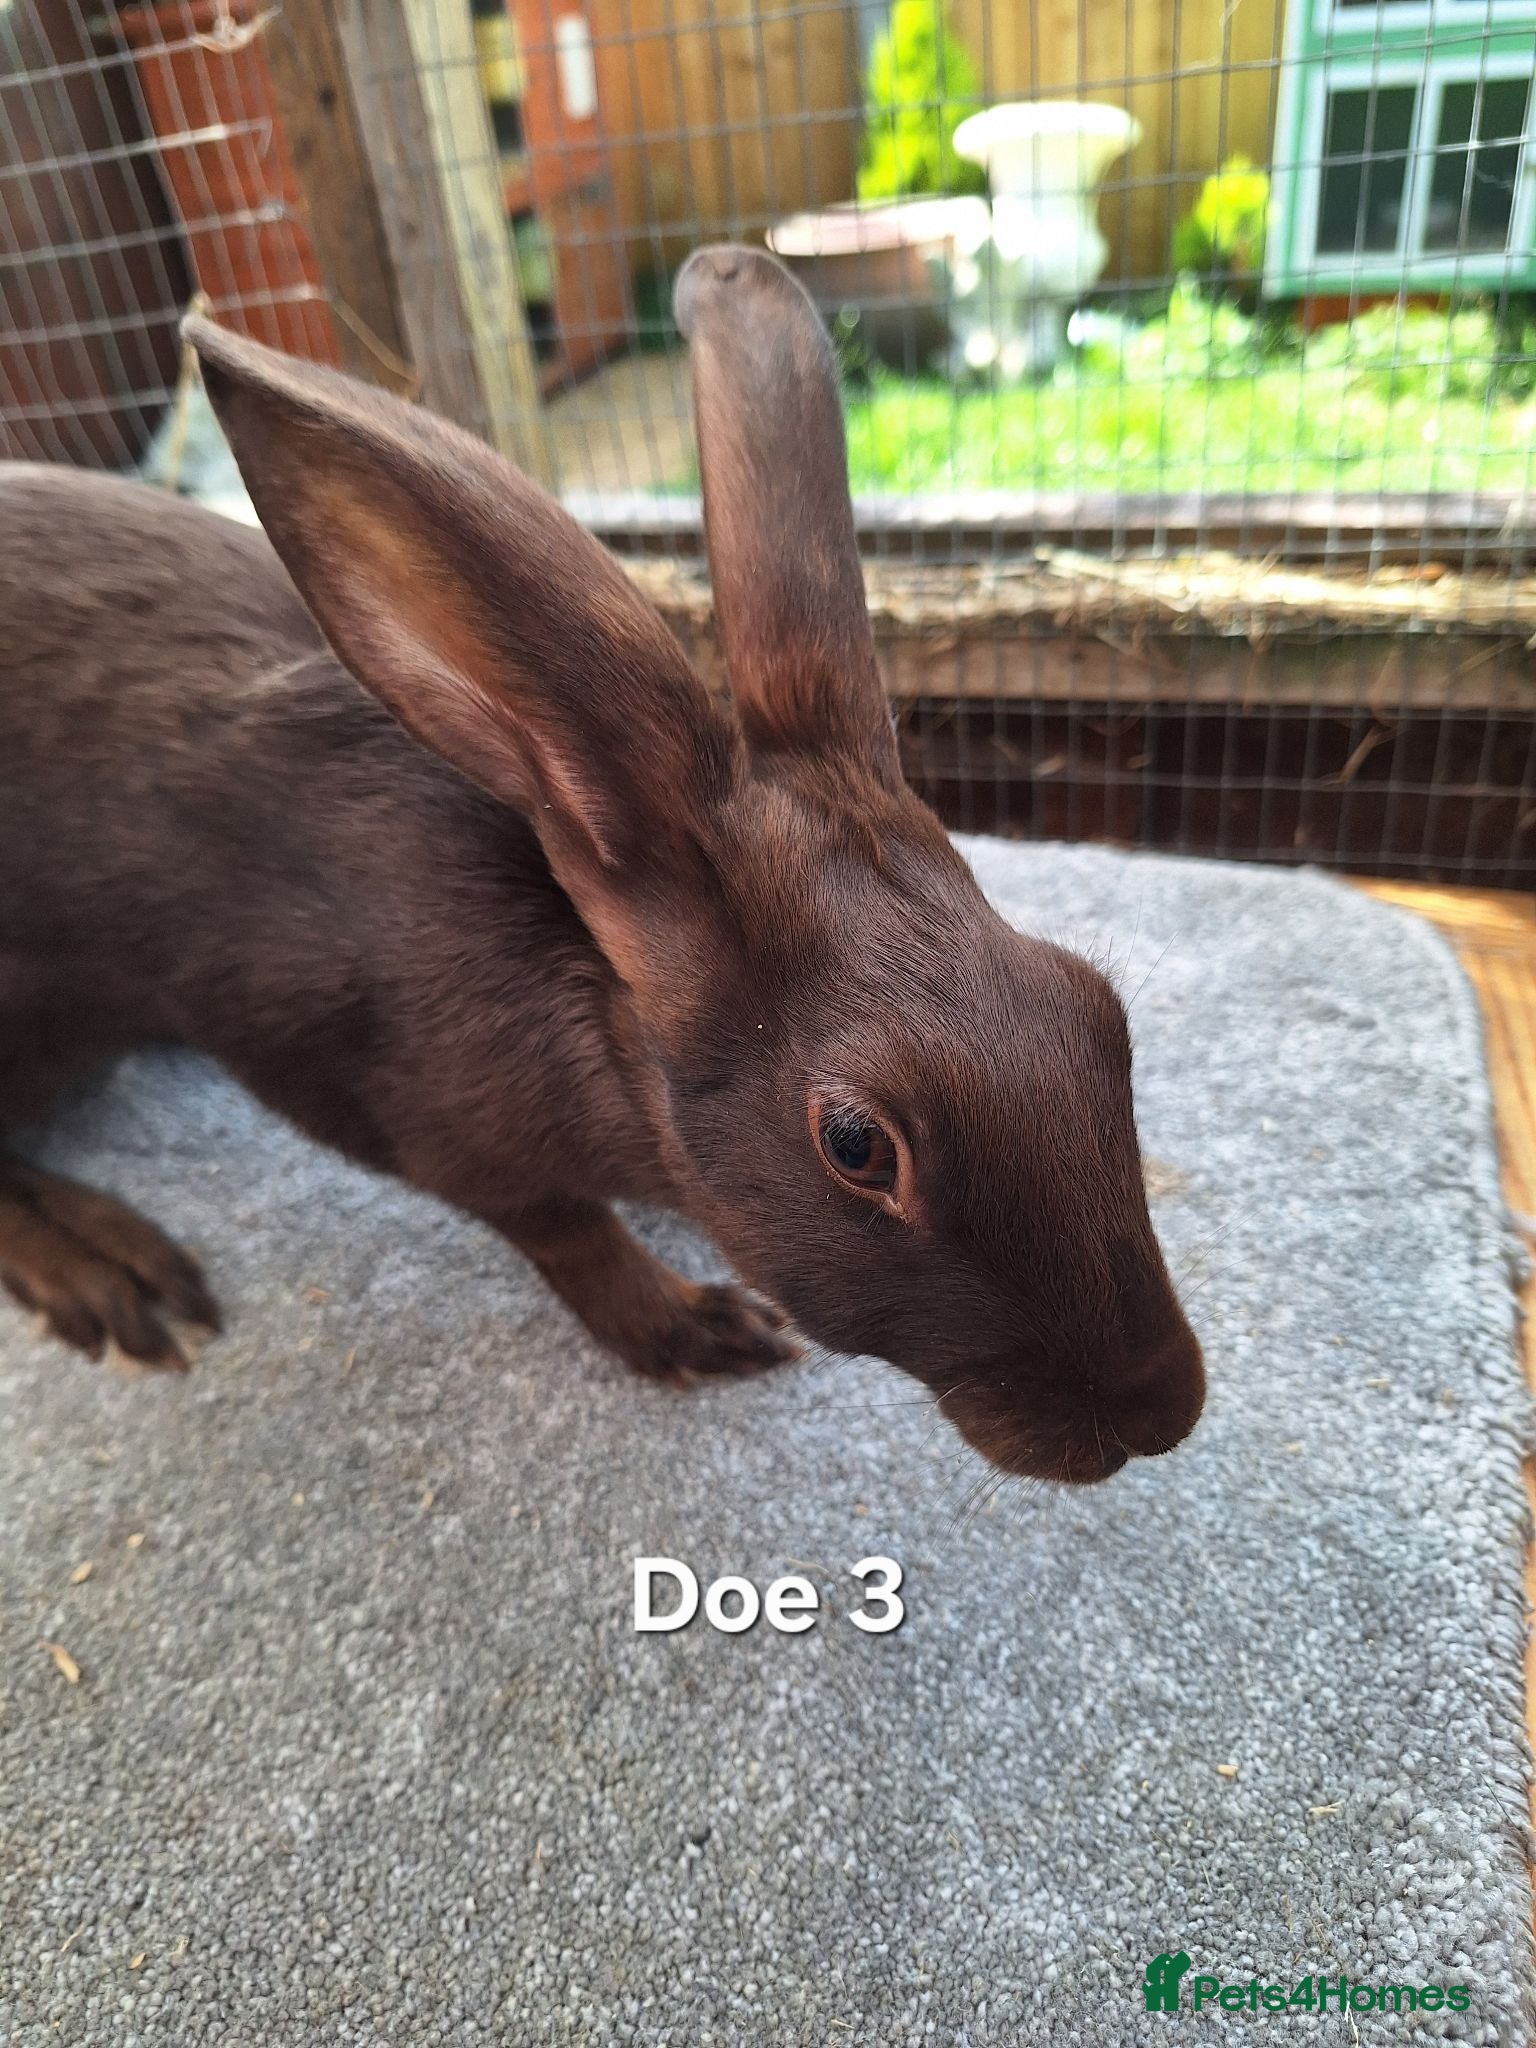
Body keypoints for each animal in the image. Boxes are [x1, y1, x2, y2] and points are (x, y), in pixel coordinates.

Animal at [0, 243, 1202, 1484]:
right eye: (858, 1145)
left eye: (1098, 1011)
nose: (1161, 1410)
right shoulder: (427, 1128)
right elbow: (570, 1236)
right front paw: (694, 1326)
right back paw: (110, 1272)